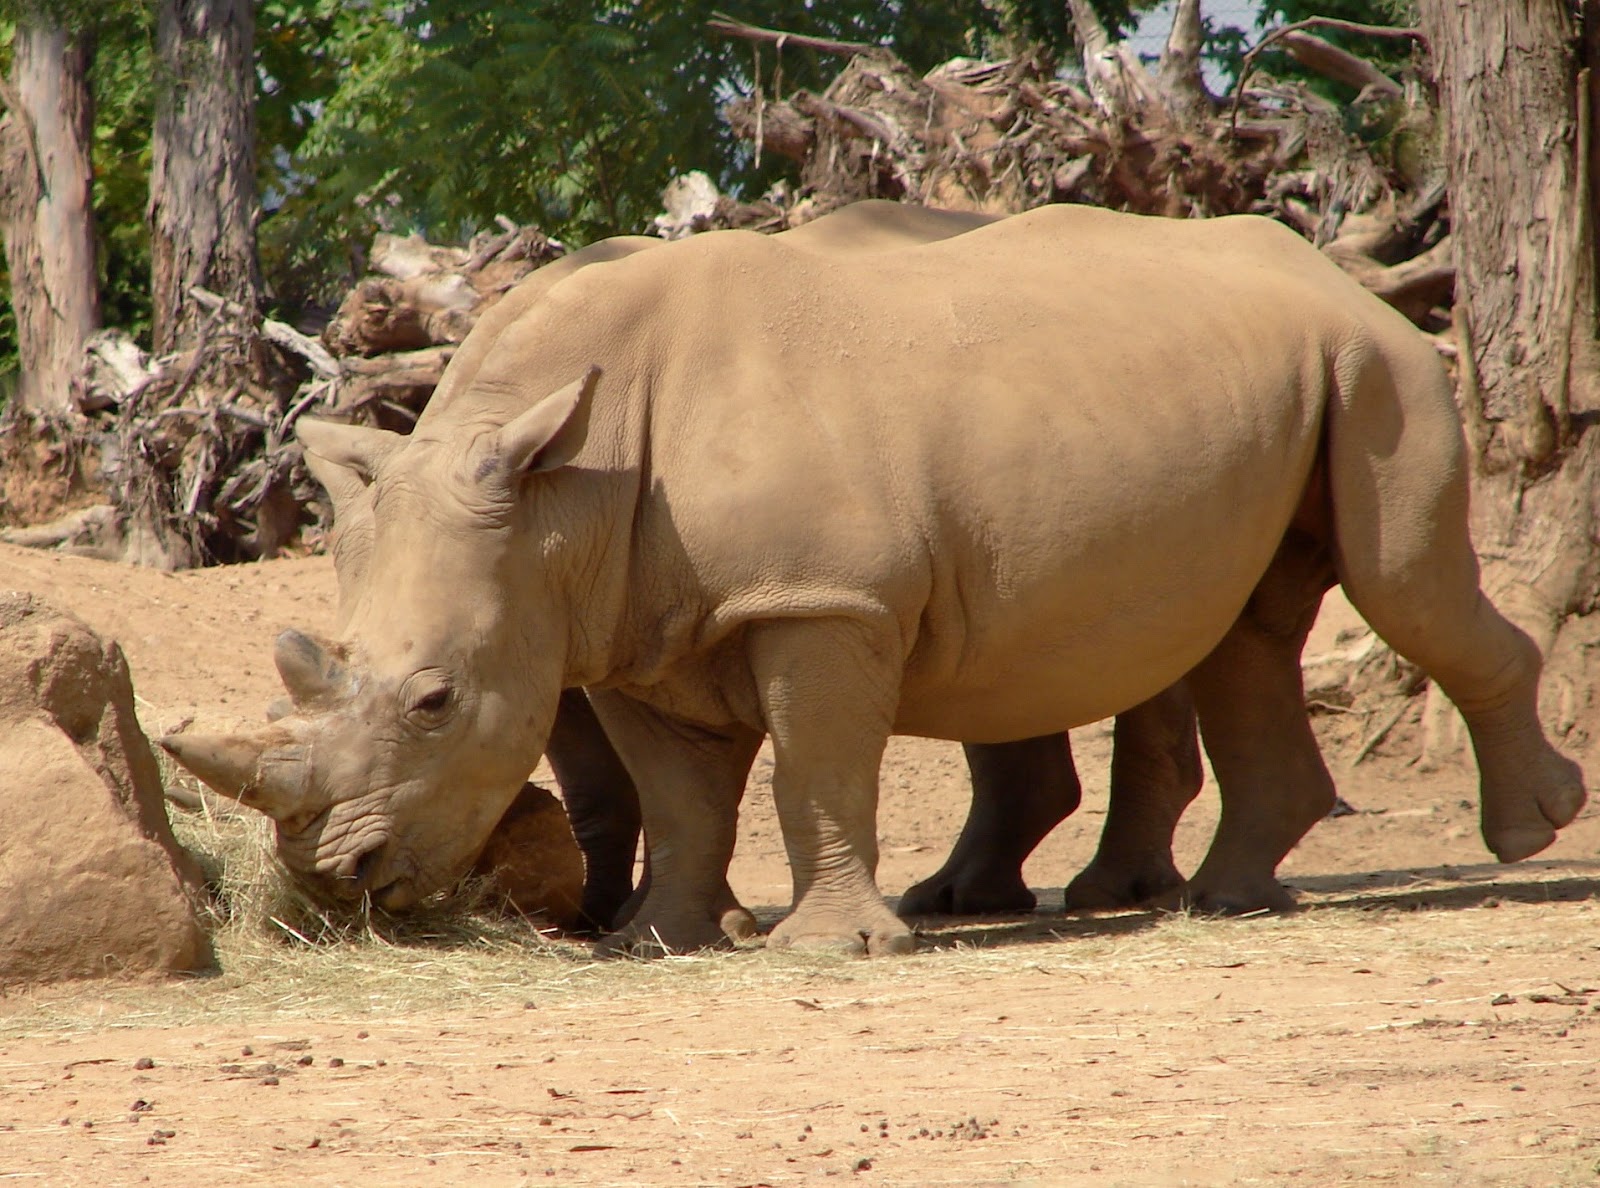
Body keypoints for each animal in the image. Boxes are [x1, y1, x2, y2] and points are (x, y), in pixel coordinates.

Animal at [164, 203, 1586, 956]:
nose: (330, 883)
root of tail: (1332, 272)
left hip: (1380, 370)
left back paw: (1526, 833)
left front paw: (828, 947)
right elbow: (684, 790)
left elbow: (816, 765)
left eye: (435, 703)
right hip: (1270, 378)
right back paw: (1230, 901)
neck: (562, 495)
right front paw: (658, 940)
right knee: (1241, 626)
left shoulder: (818, 596)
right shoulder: (624, 621)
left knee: (1398, 586)